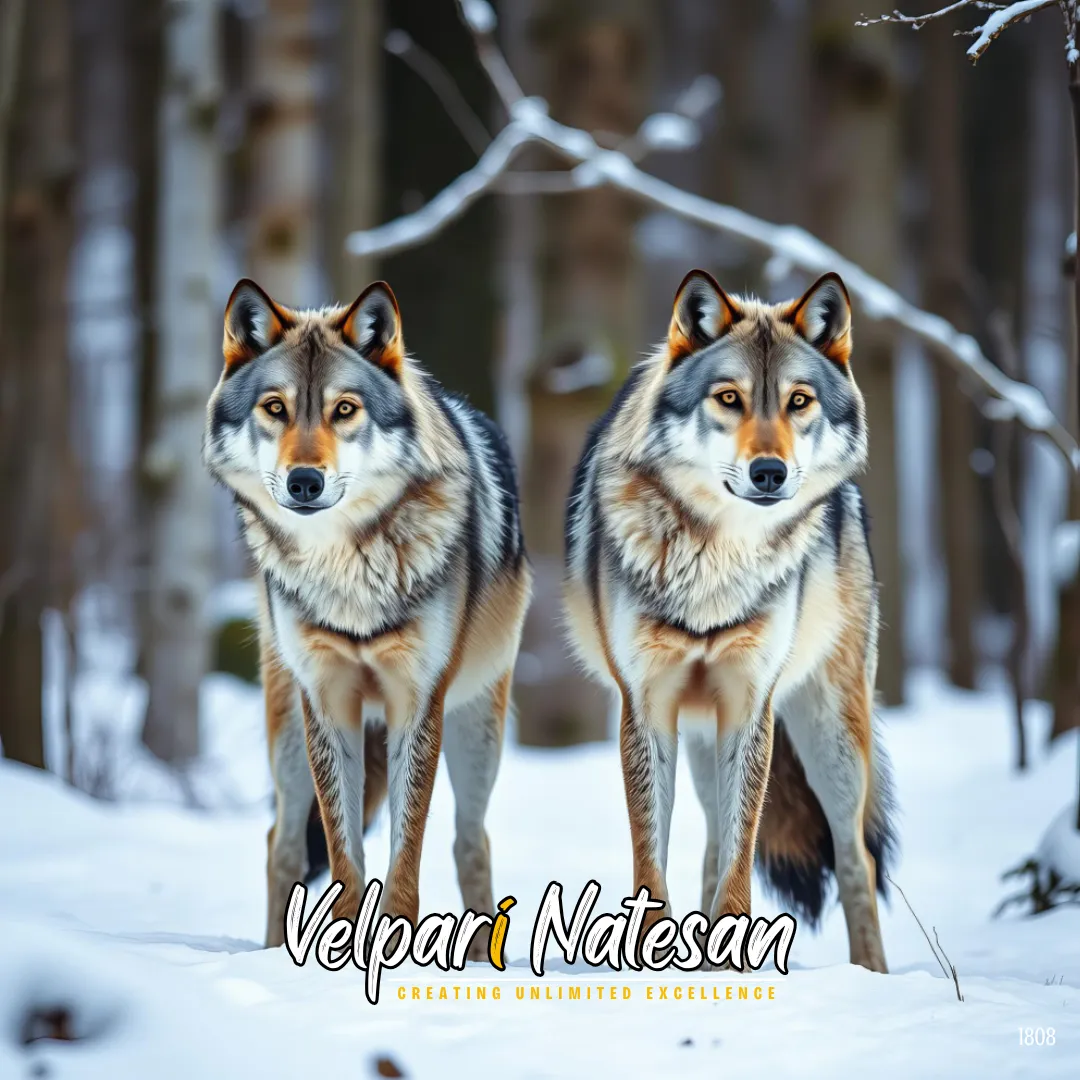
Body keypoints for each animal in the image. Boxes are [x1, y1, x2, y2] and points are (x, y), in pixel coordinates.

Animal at [204, 278, 531, 951]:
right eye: (275, 408)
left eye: (345, 410)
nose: (304, 481)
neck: (346, 570)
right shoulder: (326, 700)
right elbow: (343, 852)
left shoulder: (418, 702)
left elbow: (405, 855)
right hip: (287, 733)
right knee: (281, 843)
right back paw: (274, 948)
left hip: (477, 731)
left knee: (470, 843)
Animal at [563, 269, 895, 972]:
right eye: (728, 399)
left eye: (798, 401)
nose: (769, 472)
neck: (715, 562)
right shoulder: (647, 706)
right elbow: (653, 855)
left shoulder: (751, 704)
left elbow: (745, 855)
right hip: (701, 735)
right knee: (714, 842)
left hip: (830, 735)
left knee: (855, 856)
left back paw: (871, 974)